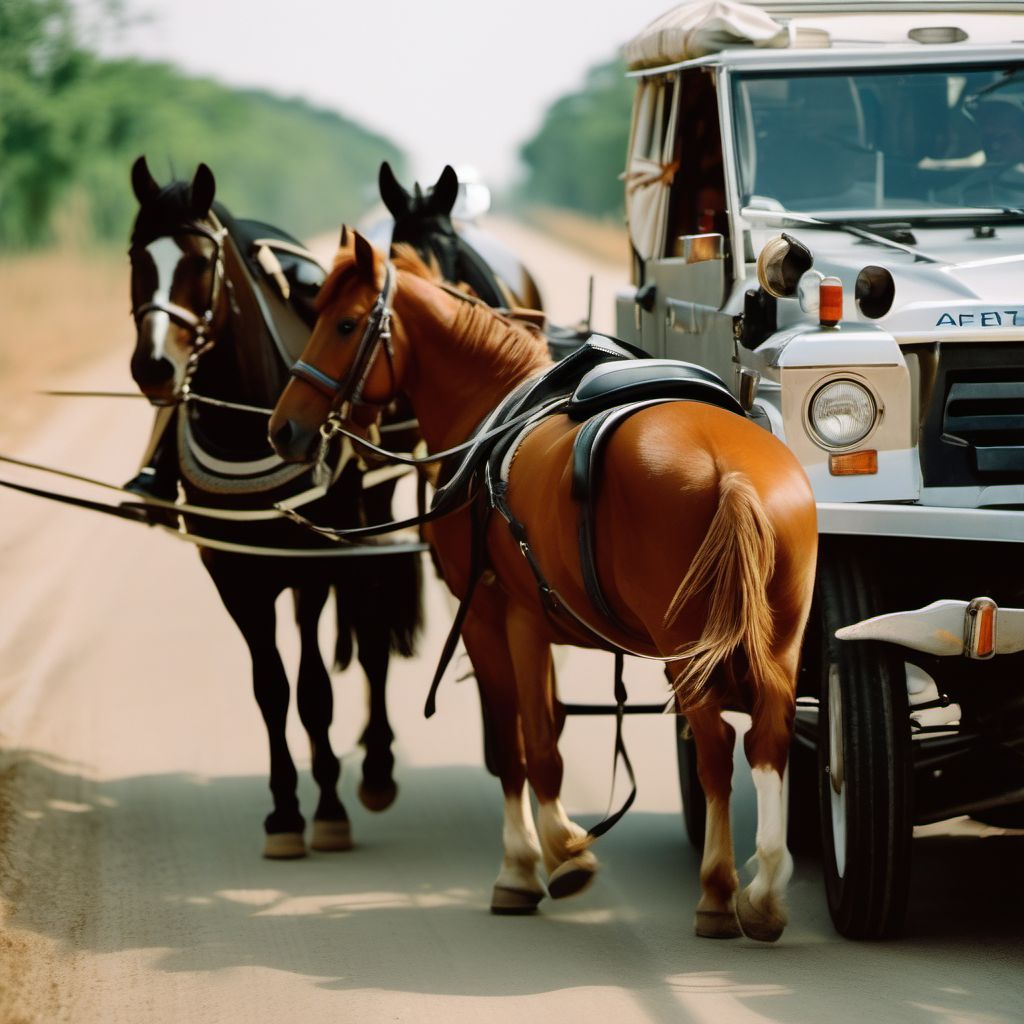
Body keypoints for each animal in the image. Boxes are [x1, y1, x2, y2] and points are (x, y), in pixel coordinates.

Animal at [129, 153, 423, 856]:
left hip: (370, 522)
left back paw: (376, 767)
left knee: (372, 635)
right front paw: (285, 809)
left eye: (198, 262)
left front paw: (328, 808)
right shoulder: (233, 572)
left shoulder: (309, 565)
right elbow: (270, 687)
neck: (244, 419)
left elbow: (313, 688)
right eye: (134, 257)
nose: (153, 367)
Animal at [268, 234, 819, 942]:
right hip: (779, 641)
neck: (489, 408)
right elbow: (549, 731)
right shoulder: (542, 627)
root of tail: (735, 476)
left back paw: (719, 893)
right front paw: (559, 849)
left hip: (686, 652)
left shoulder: (498, 619)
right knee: (769, 738)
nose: (284, 426)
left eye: (342, 324)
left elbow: (523, 746)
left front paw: (535, 862)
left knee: (717, 748)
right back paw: (766, 890)